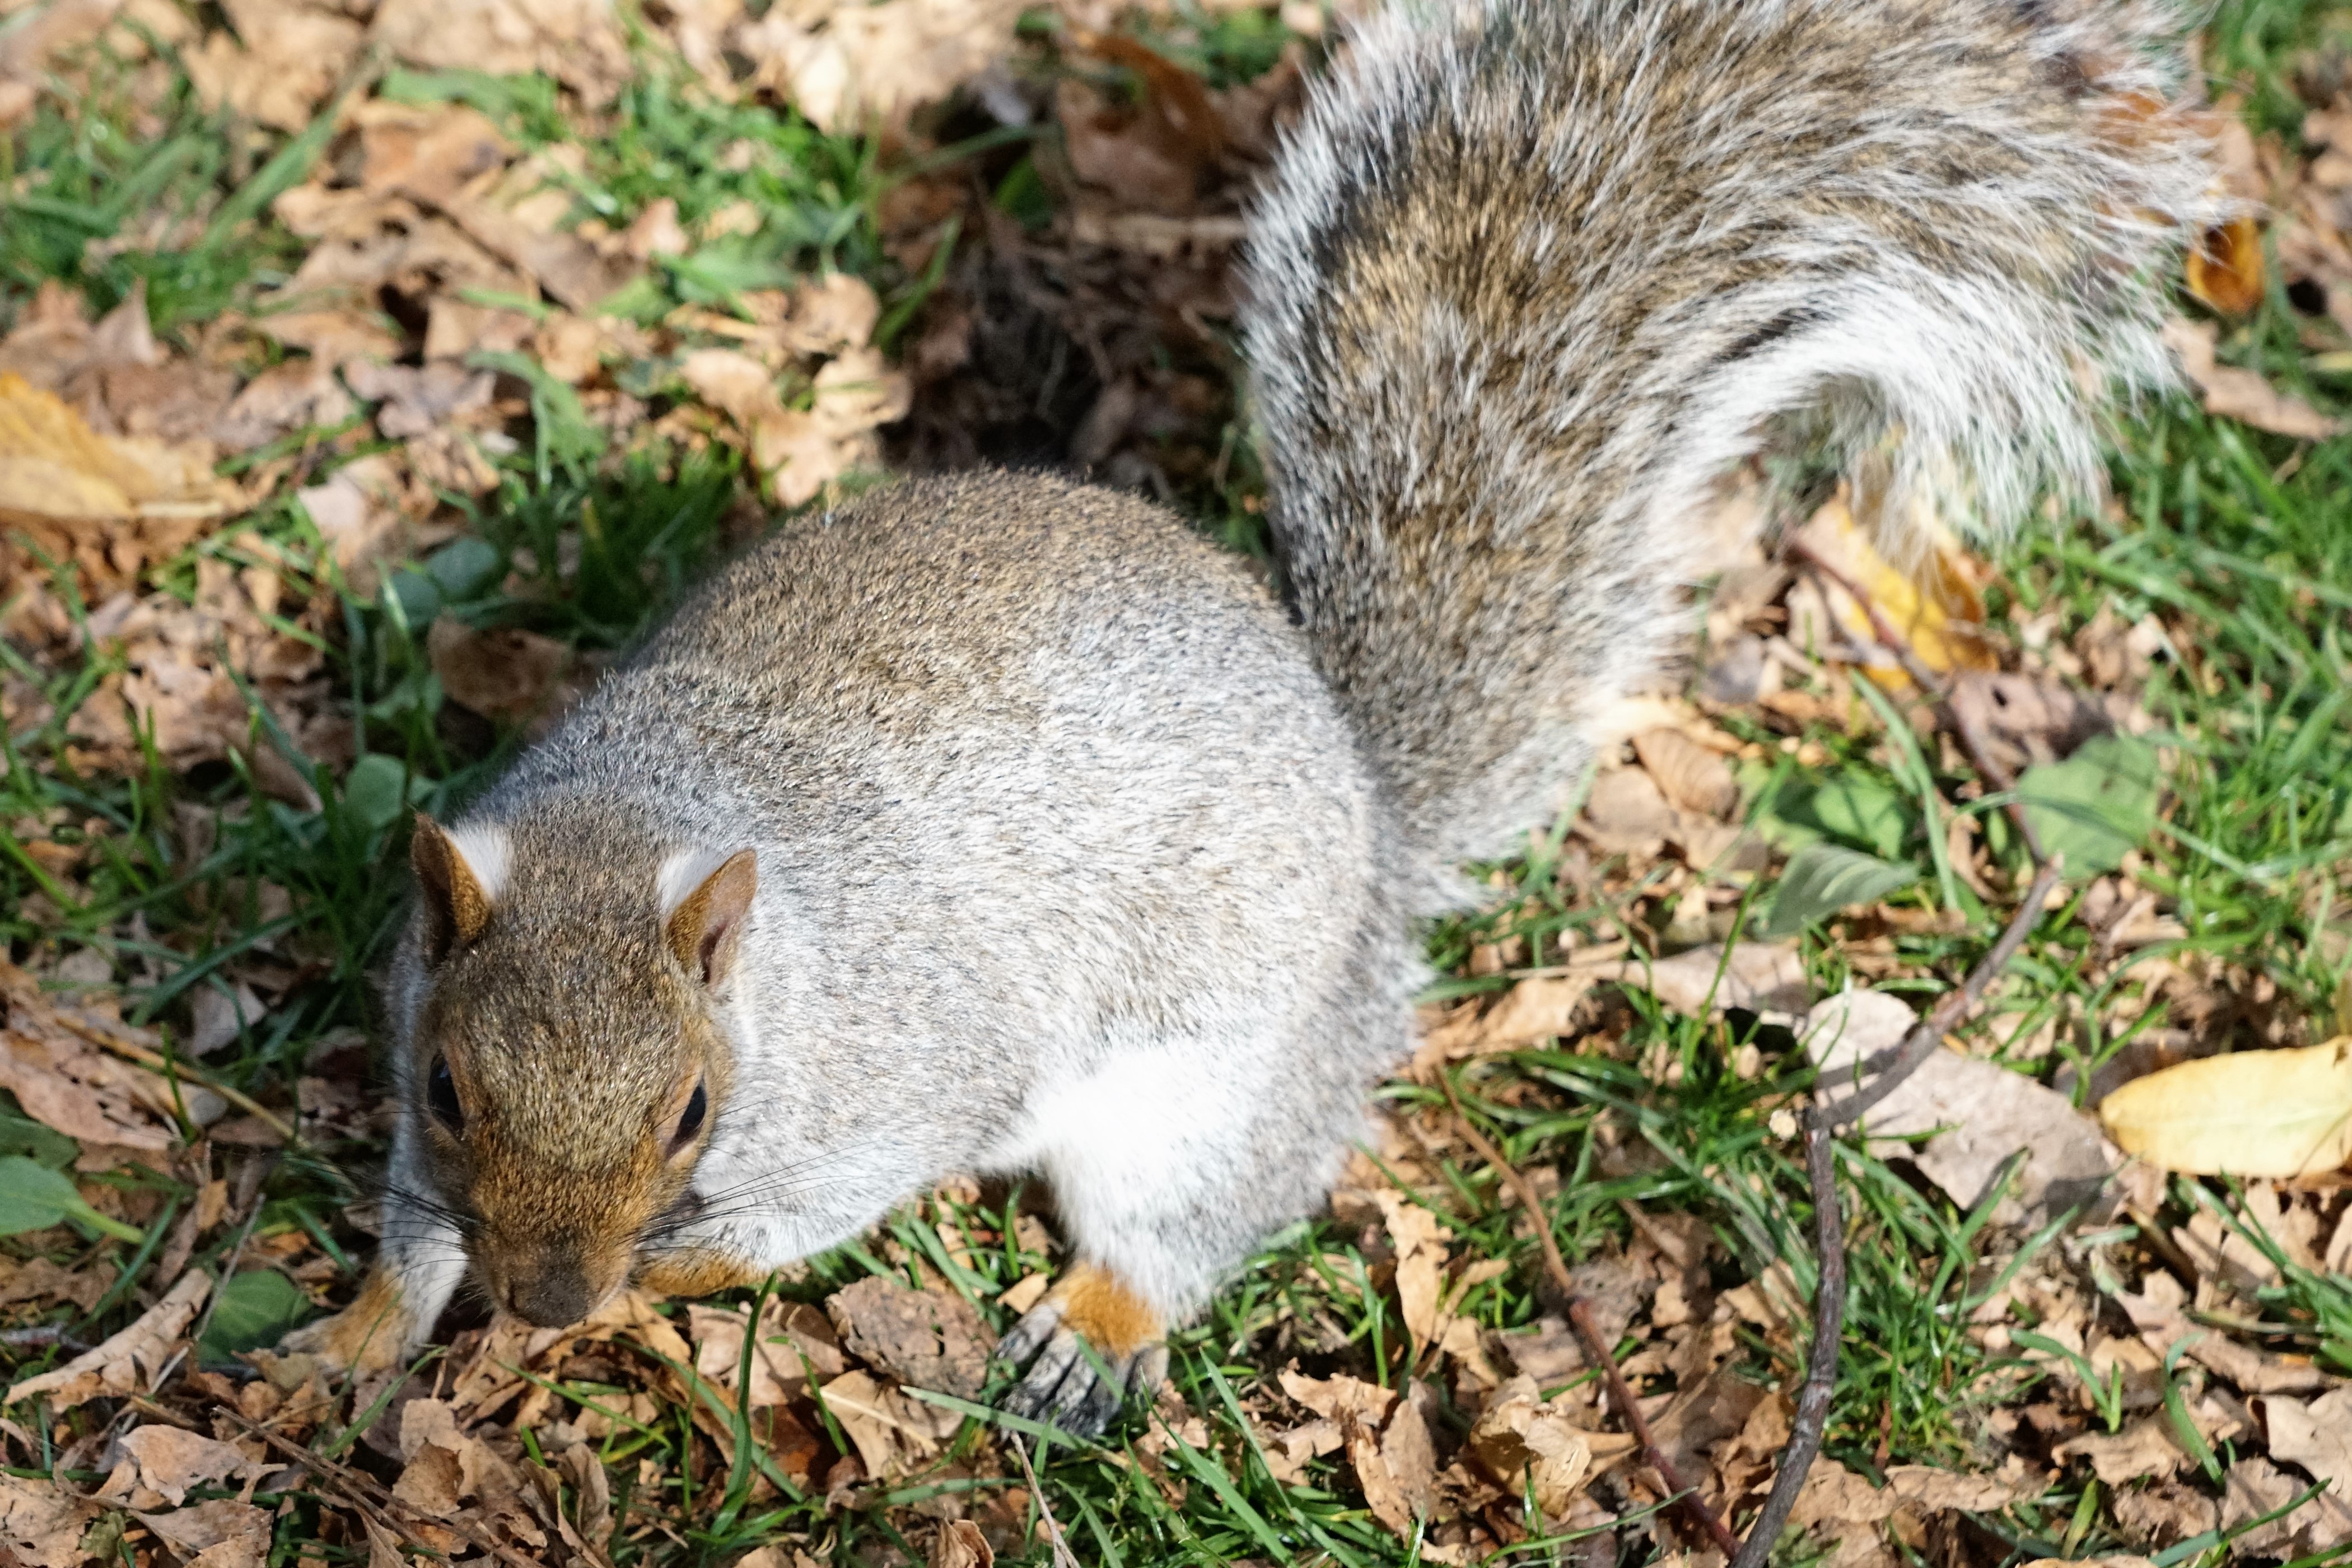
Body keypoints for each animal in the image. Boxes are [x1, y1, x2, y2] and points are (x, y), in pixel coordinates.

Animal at [289, 0, 2201, 1439]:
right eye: (446, 1082)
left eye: (692, 1110)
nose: (547, 1299)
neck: (655, 826)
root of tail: (1361, 795)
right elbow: (409, 1220)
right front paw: (356, 1330)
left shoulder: (909, 1071)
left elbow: (813, 1208)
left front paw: (662, 1272)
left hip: (1211, 1074)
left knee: (1204, 1206)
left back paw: (1094, 1322)